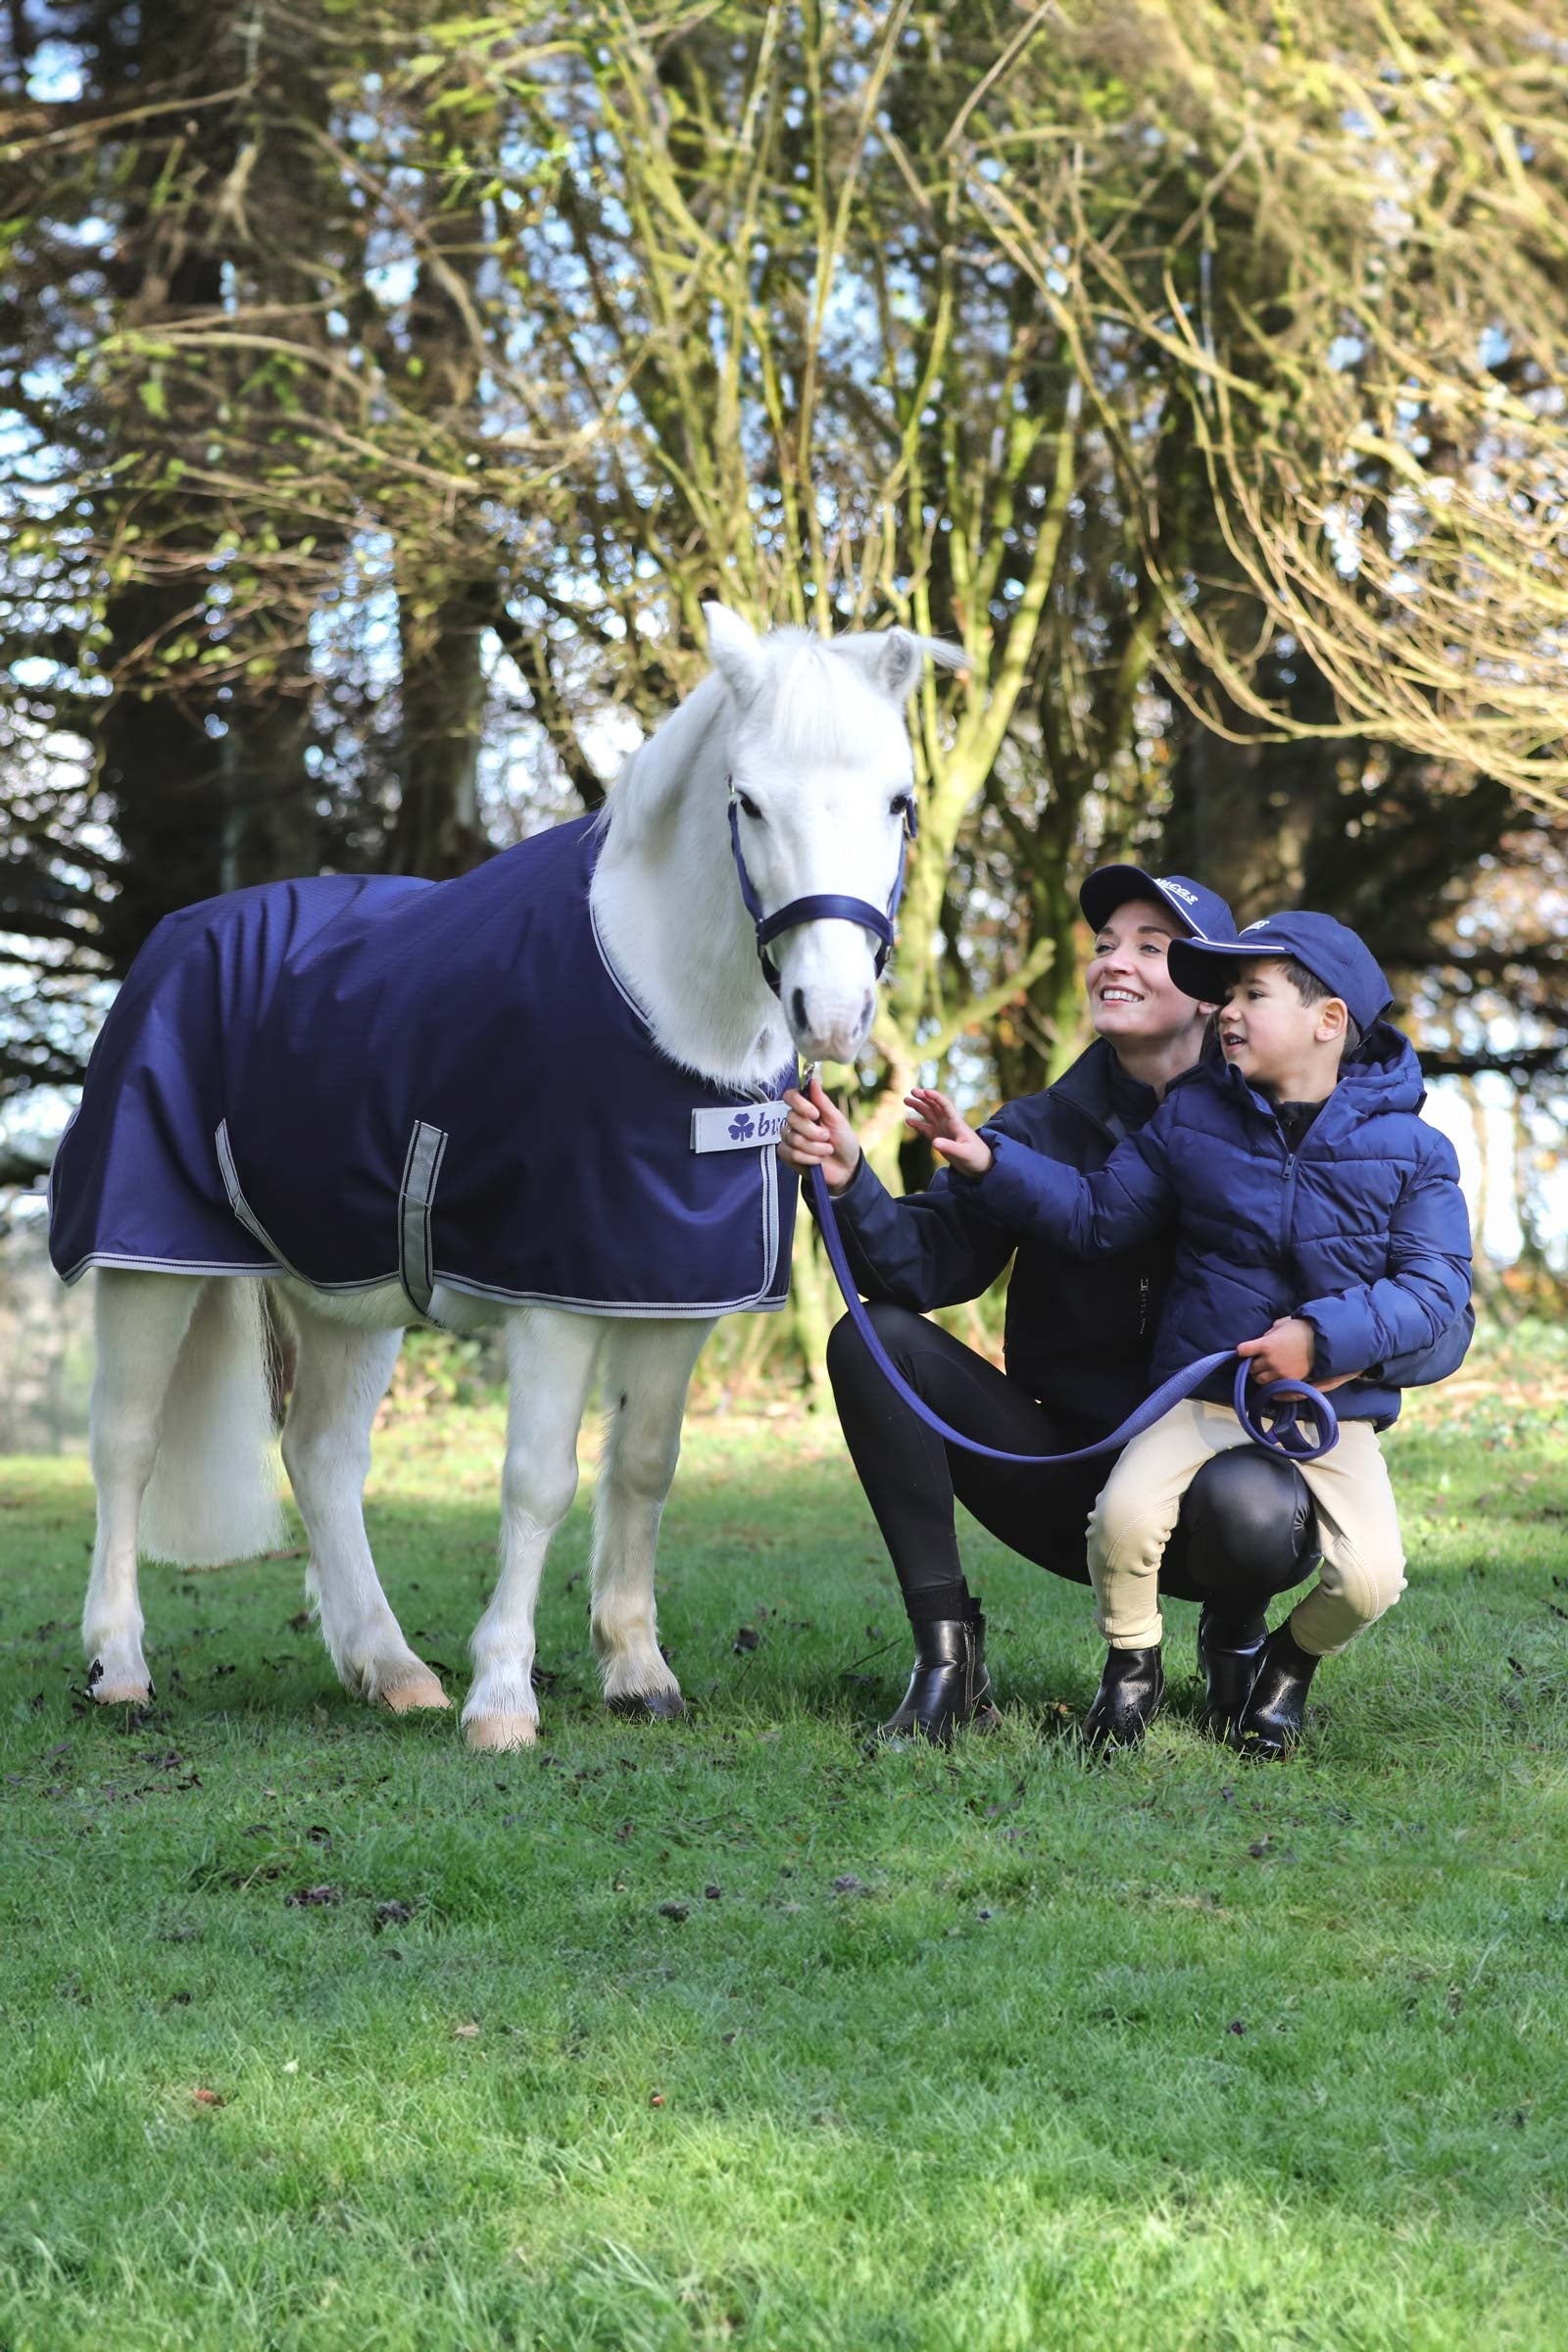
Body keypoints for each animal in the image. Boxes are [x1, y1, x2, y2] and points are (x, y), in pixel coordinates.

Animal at [49, 607, 966, 1751]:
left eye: (899, 801)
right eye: (748, 801)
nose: (832, 1016)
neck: (663, 1014)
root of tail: (173, 941)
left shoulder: (673, 1298)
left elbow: (645, 1465)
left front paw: (637, 1672)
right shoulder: (551, 1299)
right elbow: (539, 1485)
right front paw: (501, 1701)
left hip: (347, 1298)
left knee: (321, 1456)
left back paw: (391, 1668)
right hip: (150, 1266)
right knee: (124, 1449)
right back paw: (119, 1666)